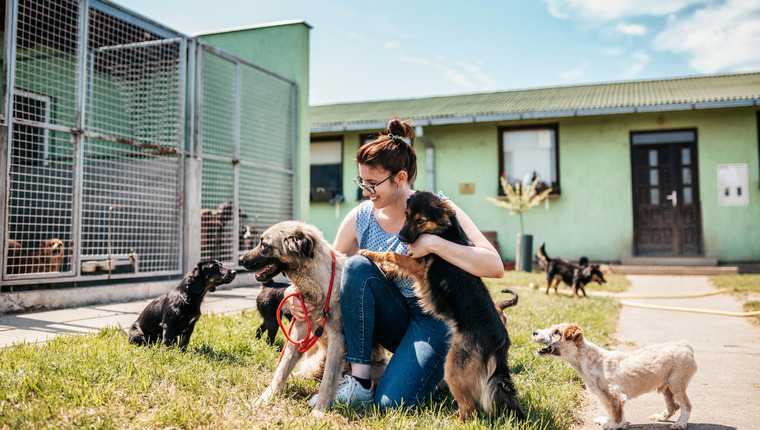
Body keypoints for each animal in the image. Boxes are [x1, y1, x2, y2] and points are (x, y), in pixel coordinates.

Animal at [360, 192, 524, 424]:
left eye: (420, 220)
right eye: (406, 215)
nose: (401, 237)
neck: (443, 231)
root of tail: (499, 340)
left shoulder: (420, 268)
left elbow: (394, 255)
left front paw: (370, 253)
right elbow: (397, 262)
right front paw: (386, 269)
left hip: (453, 368)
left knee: (470, 410)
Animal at [532, 322, 696, 430]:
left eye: (557, 332)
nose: (534, 332)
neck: (590, 360)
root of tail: (685, 345)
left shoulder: (615, 396)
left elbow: (617, 413)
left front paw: (614, 425)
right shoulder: (604, 396)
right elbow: (609, 410)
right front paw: (608, 420)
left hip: (676, 384)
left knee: (686, 405)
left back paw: (680, 424)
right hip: (667, 387)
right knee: (673, 406)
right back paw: (661, 417)